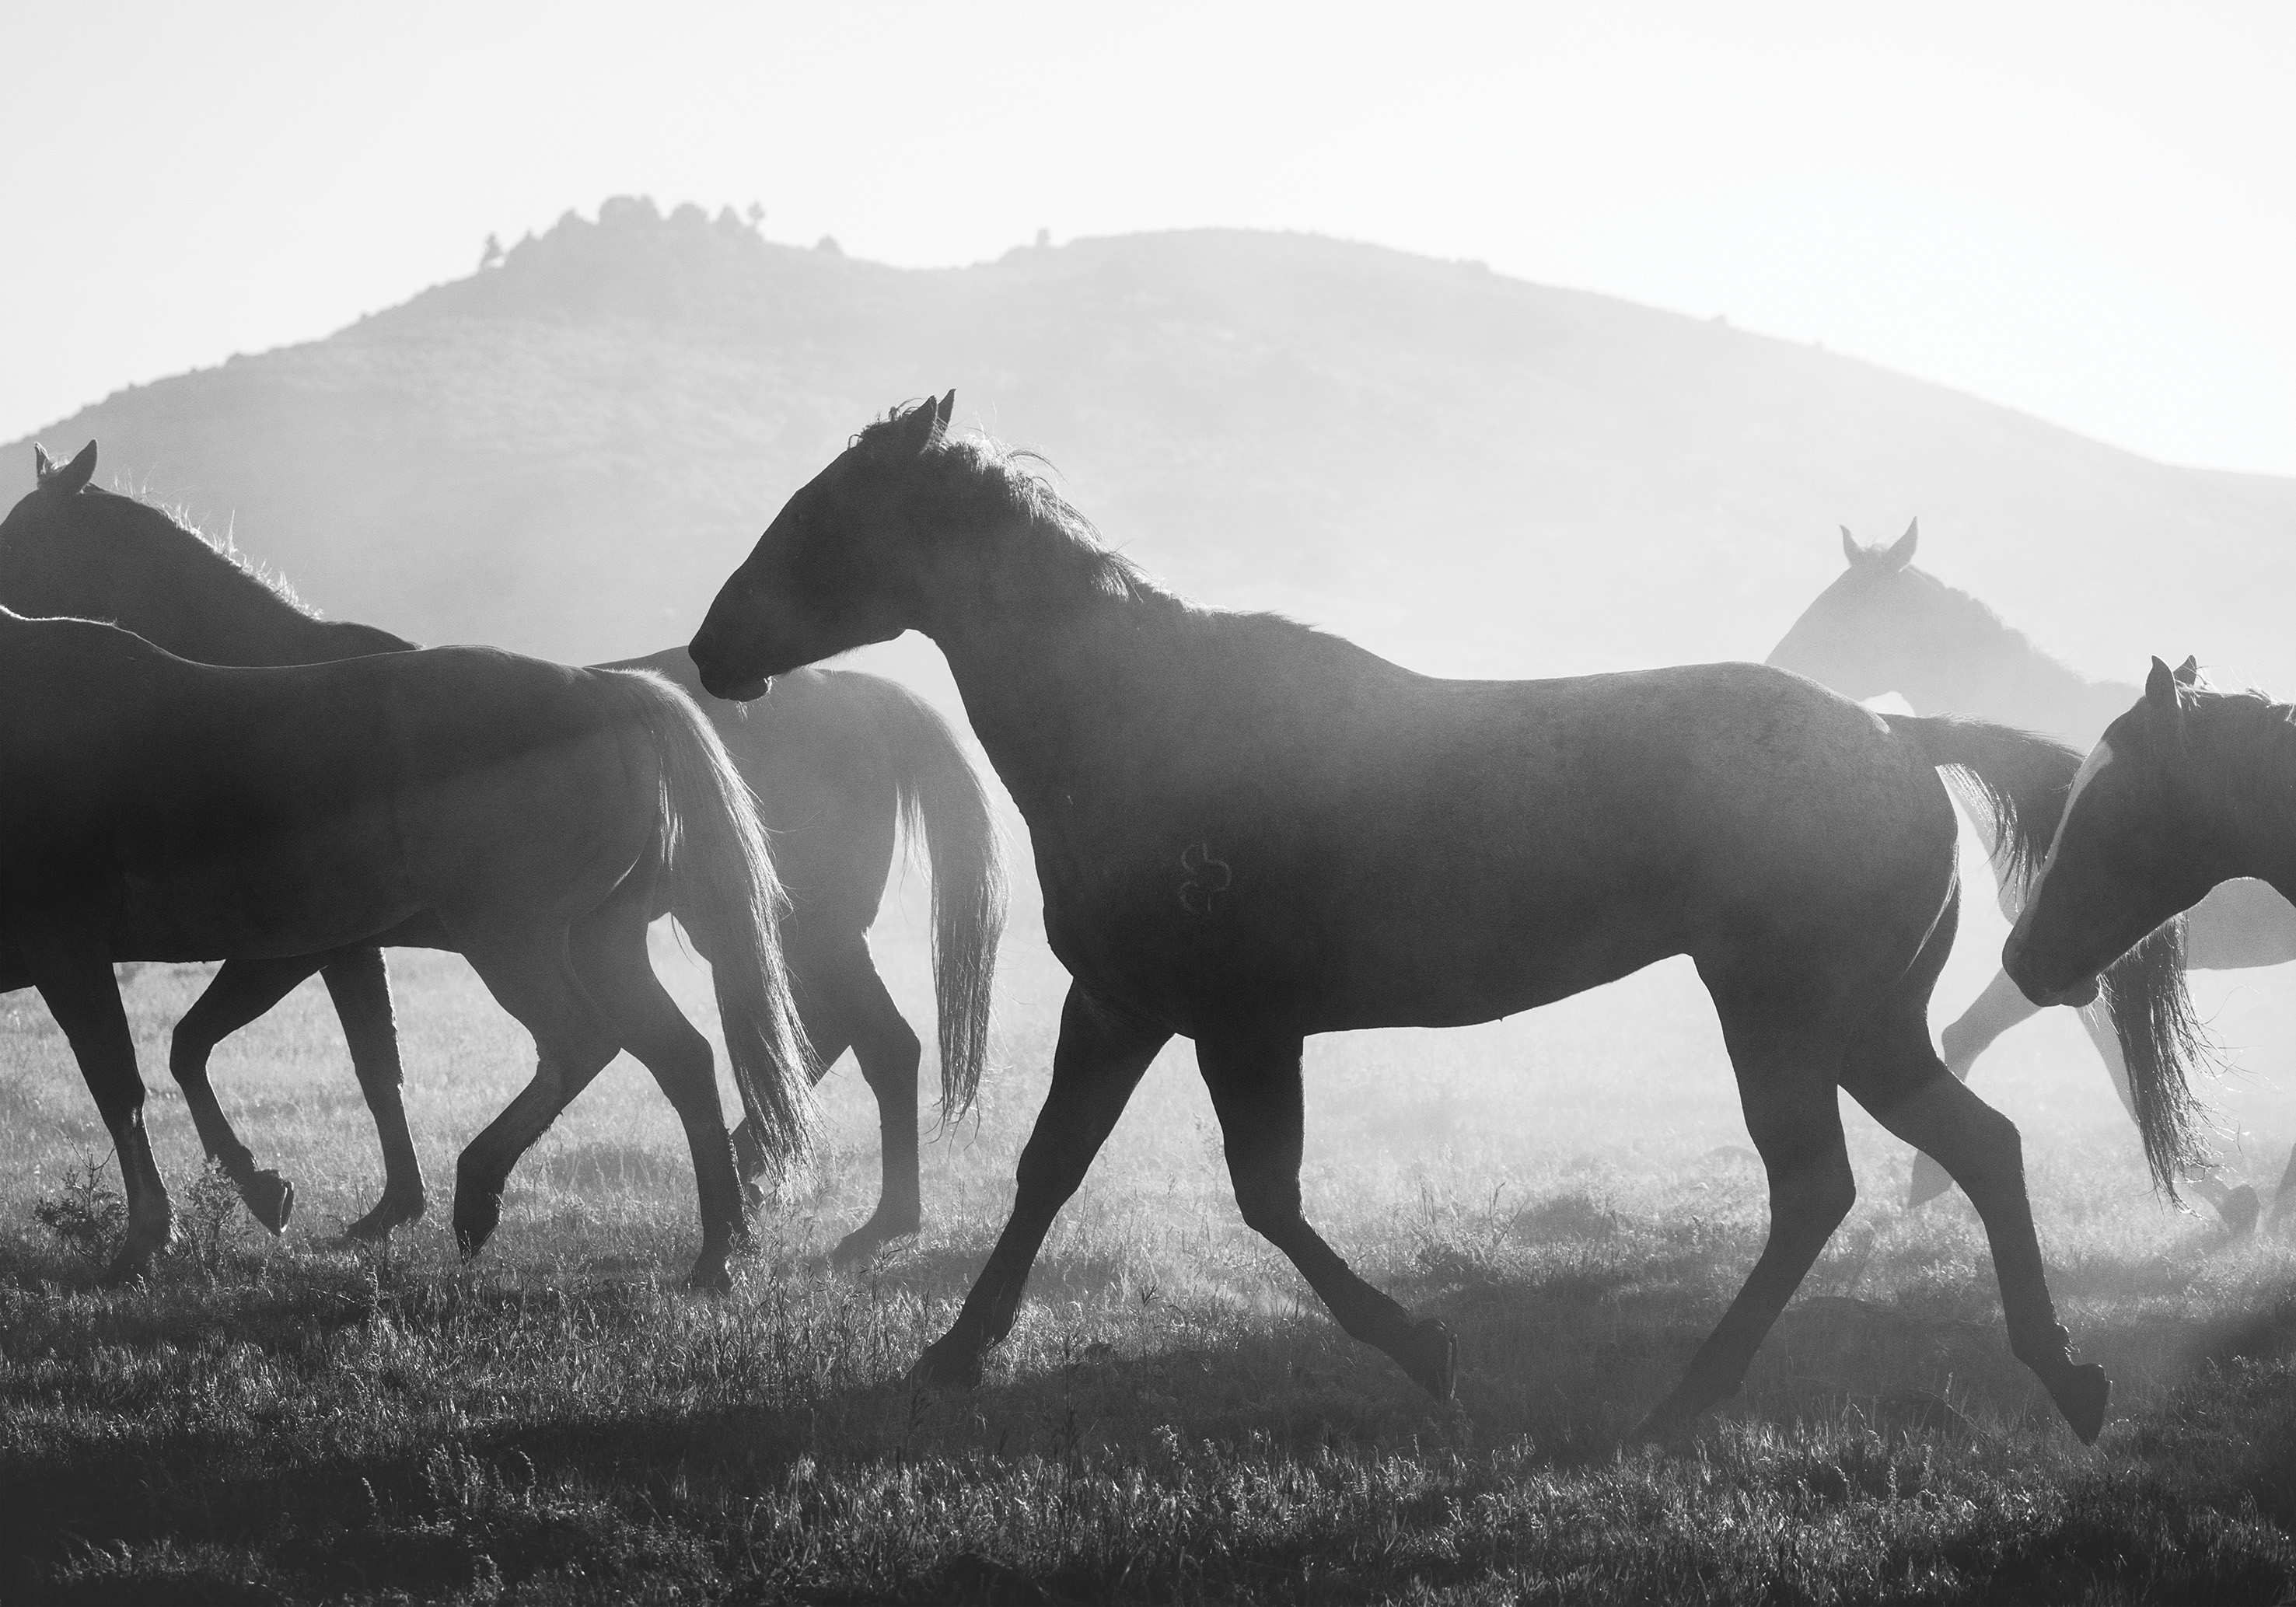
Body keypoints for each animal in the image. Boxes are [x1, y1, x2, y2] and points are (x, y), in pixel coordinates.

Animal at [0, 604, 815, 1287]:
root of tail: (609, 691)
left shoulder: (71, 948)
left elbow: (122, 1084)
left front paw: (147, 1237)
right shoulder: (291, 951)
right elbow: (196, 1051)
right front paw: (261, 1188)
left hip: (511, 939)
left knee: (581, 1041)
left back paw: (479, 1190)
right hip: (600, 944)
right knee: (681, 1057)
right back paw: (718, 1253)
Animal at [685, 393, 2200, 1442]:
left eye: (826, 515)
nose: (710, 648)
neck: (1142, 717)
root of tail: (1900, 740)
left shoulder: (1236, 1024)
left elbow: (1267, 1197)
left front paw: (1423, 1346)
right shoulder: (1120, 1005)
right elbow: (1050, 1168)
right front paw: (954, 1349)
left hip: (1788, 1020)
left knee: (1821, 1185)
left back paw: (1686, 1401)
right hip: (1865, 1026)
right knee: (1974, 1150)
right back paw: (2059, 1376)